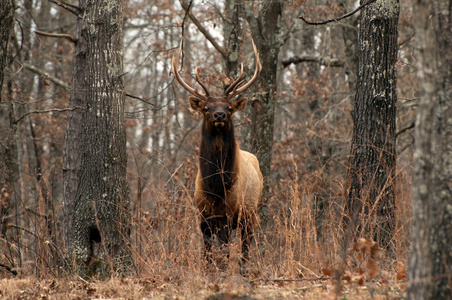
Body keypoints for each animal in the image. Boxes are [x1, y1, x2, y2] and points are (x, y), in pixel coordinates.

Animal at [173, 41, 264, 262]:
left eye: (229, 107)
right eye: (206, 108)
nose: (220, 114)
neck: (216, 187)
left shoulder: (229, 214)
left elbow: (223, 252)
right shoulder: (203, 215)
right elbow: (207, 254)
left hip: (250, 214)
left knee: (245, 250)